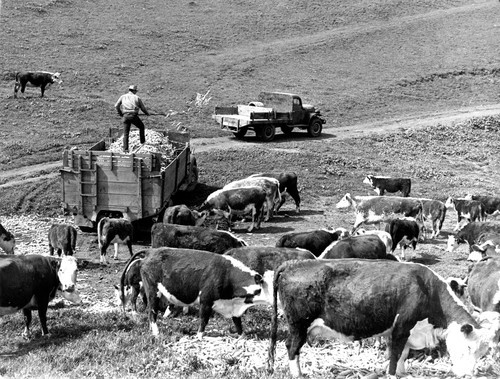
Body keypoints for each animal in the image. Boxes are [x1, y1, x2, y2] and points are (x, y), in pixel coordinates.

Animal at [124, 248, 262, 336]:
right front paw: (199, 336)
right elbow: (204, 320)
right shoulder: (206, 300)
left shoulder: (233, 307)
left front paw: (242, 336)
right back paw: (156, 332)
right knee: (151, 311)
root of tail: (151, 251)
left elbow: (238, 323)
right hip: (152, 291)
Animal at [268, 260, 498, 378]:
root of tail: (292, 264)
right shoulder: (402, 326)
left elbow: (403, 354)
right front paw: (393, 374)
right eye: (468, 347)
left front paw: (403, 372)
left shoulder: (404, 331)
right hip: (299, 324)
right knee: (292, 348)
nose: (467, 375)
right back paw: (297, 374)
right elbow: (395, 354)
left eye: (482, 353)